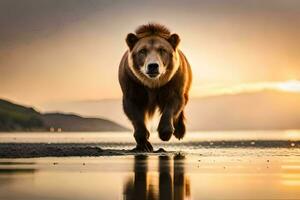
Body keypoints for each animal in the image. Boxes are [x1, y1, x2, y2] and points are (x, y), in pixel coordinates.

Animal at [118, 23, 191, 152]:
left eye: (162, 50)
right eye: (142, 50)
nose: (152, 66)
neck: (152, 84)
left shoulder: (173, 82)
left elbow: (173, 104)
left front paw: (165, 133)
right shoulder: (133, 84)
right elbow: (133, 111)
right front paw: (145, 143)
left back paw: (179, 131)